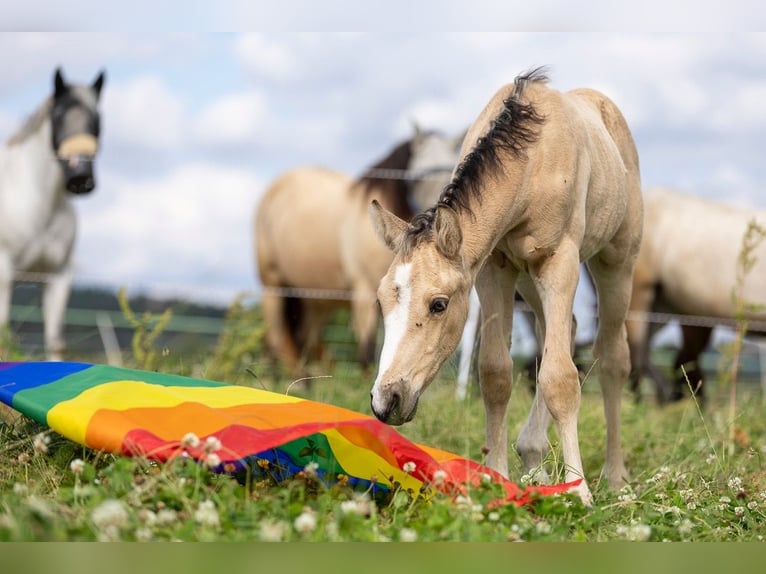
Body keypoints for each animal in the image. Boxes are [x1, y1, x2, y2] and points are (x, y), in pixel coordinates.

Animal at [0, 68, 106, 360]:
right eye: (57, 116)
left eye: (97, 120)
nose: (80, 176)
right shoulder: (4, 273)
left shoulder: (57, 277)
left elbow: (54, 341)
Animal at [368, 68, 644, 504]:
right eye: (381, 302)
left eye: (439, 304)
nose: (386, 400)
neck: (532, 161)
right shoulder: (492, 269)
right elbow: (496, 373)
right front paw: (495, 479)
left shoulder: (559, 261)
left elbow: (560, 377)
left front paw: (579, 492)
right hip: (529, 281)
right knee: (562, 333)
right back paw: (533, 456)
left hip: (615, 263)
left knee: (612, 357)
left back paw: (615, 477)